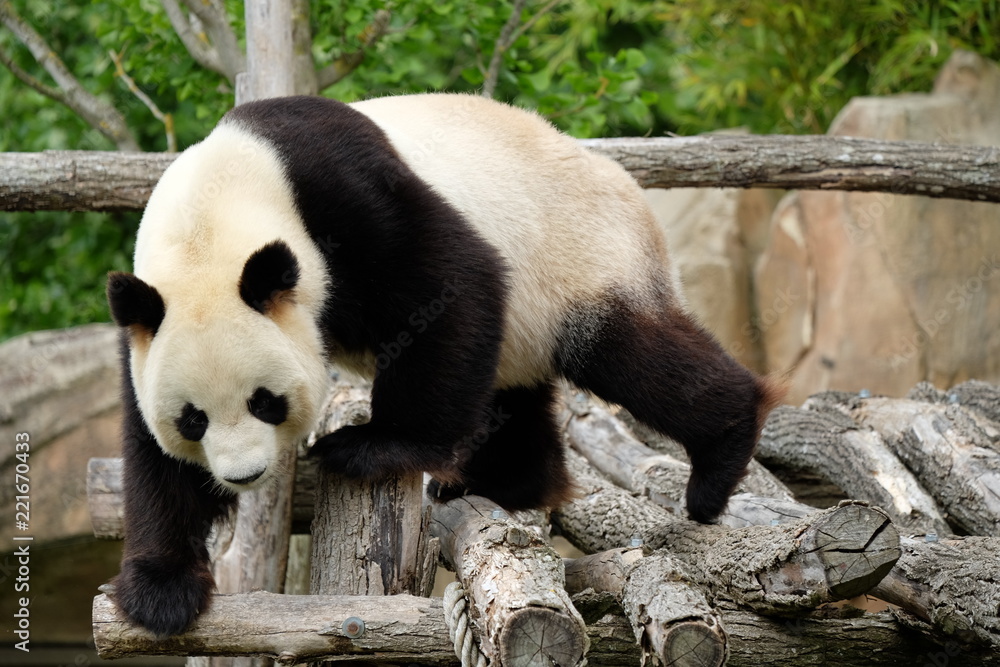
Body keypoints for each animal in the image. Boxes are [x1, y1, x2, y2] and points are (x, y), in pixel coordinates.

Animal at [106, 93, 783, 636]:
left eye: (264, 401)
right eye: (193, 419)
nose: (244, 475)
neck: (219, 208)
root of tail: (632, 188)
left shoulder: (339, 192)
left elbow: (452, 278)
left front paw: (373, 445)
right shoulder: (145, 321)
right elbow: (151, 454)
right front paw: (160, 591)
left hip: (583, 254)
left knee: (630, 355)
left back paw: (720, 455)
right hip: (531, 323)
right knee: (512, 396)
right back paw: (504, 483)